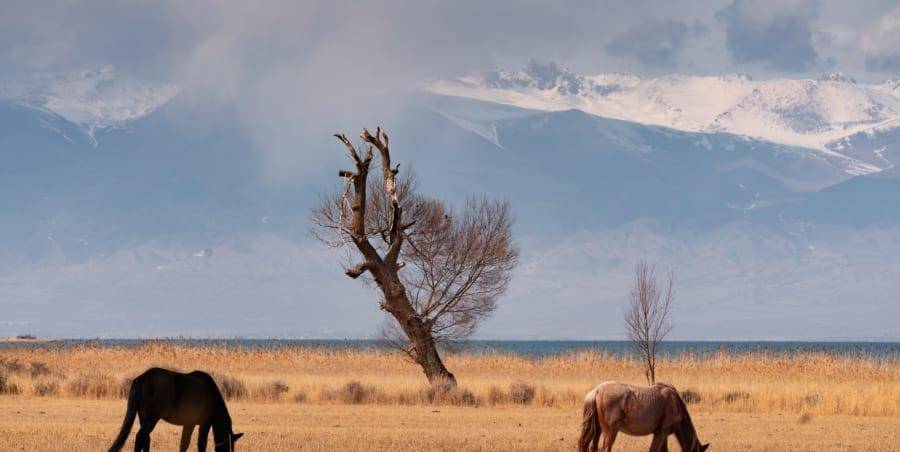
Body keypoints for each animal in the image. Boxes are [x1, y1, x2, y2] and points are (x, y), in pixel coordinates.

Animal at [106, 368, 243, 452]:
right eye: (230, 447)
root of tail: (142, 377)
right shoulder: (205, 423)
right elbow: (201, 443)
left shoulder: (189, 423)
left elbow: (184, 443)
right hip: (152, 417)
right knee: (141, 436)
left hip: (143, 416)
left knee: (145, 438)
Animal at [576, 382, 712, 452]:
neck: (675, 402)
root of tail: (596, 391)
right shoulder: (661, 433)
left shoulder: (663, 435)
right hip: (610, 432)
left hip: (598, 430)